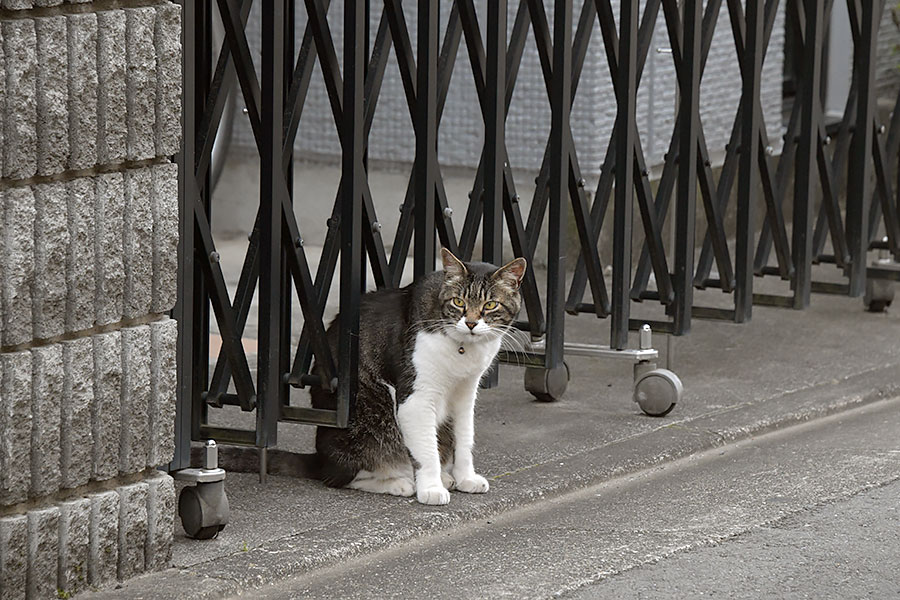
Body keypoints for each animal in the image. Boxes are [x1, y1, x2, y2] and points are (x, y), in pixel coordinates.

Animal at [312, 246, 528, 504]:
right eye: (458, 301)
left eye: (491, 305)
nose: (471, 323)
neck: (463, 348)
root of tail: (318, 458)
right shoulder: (416, 397)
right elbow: (426, 450)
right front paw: (431, 489)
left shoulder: (467, 392)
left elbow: (464, 437)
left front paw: (466, 478)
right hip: (370, 412)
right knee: (342, 475)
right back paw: (398, 482)